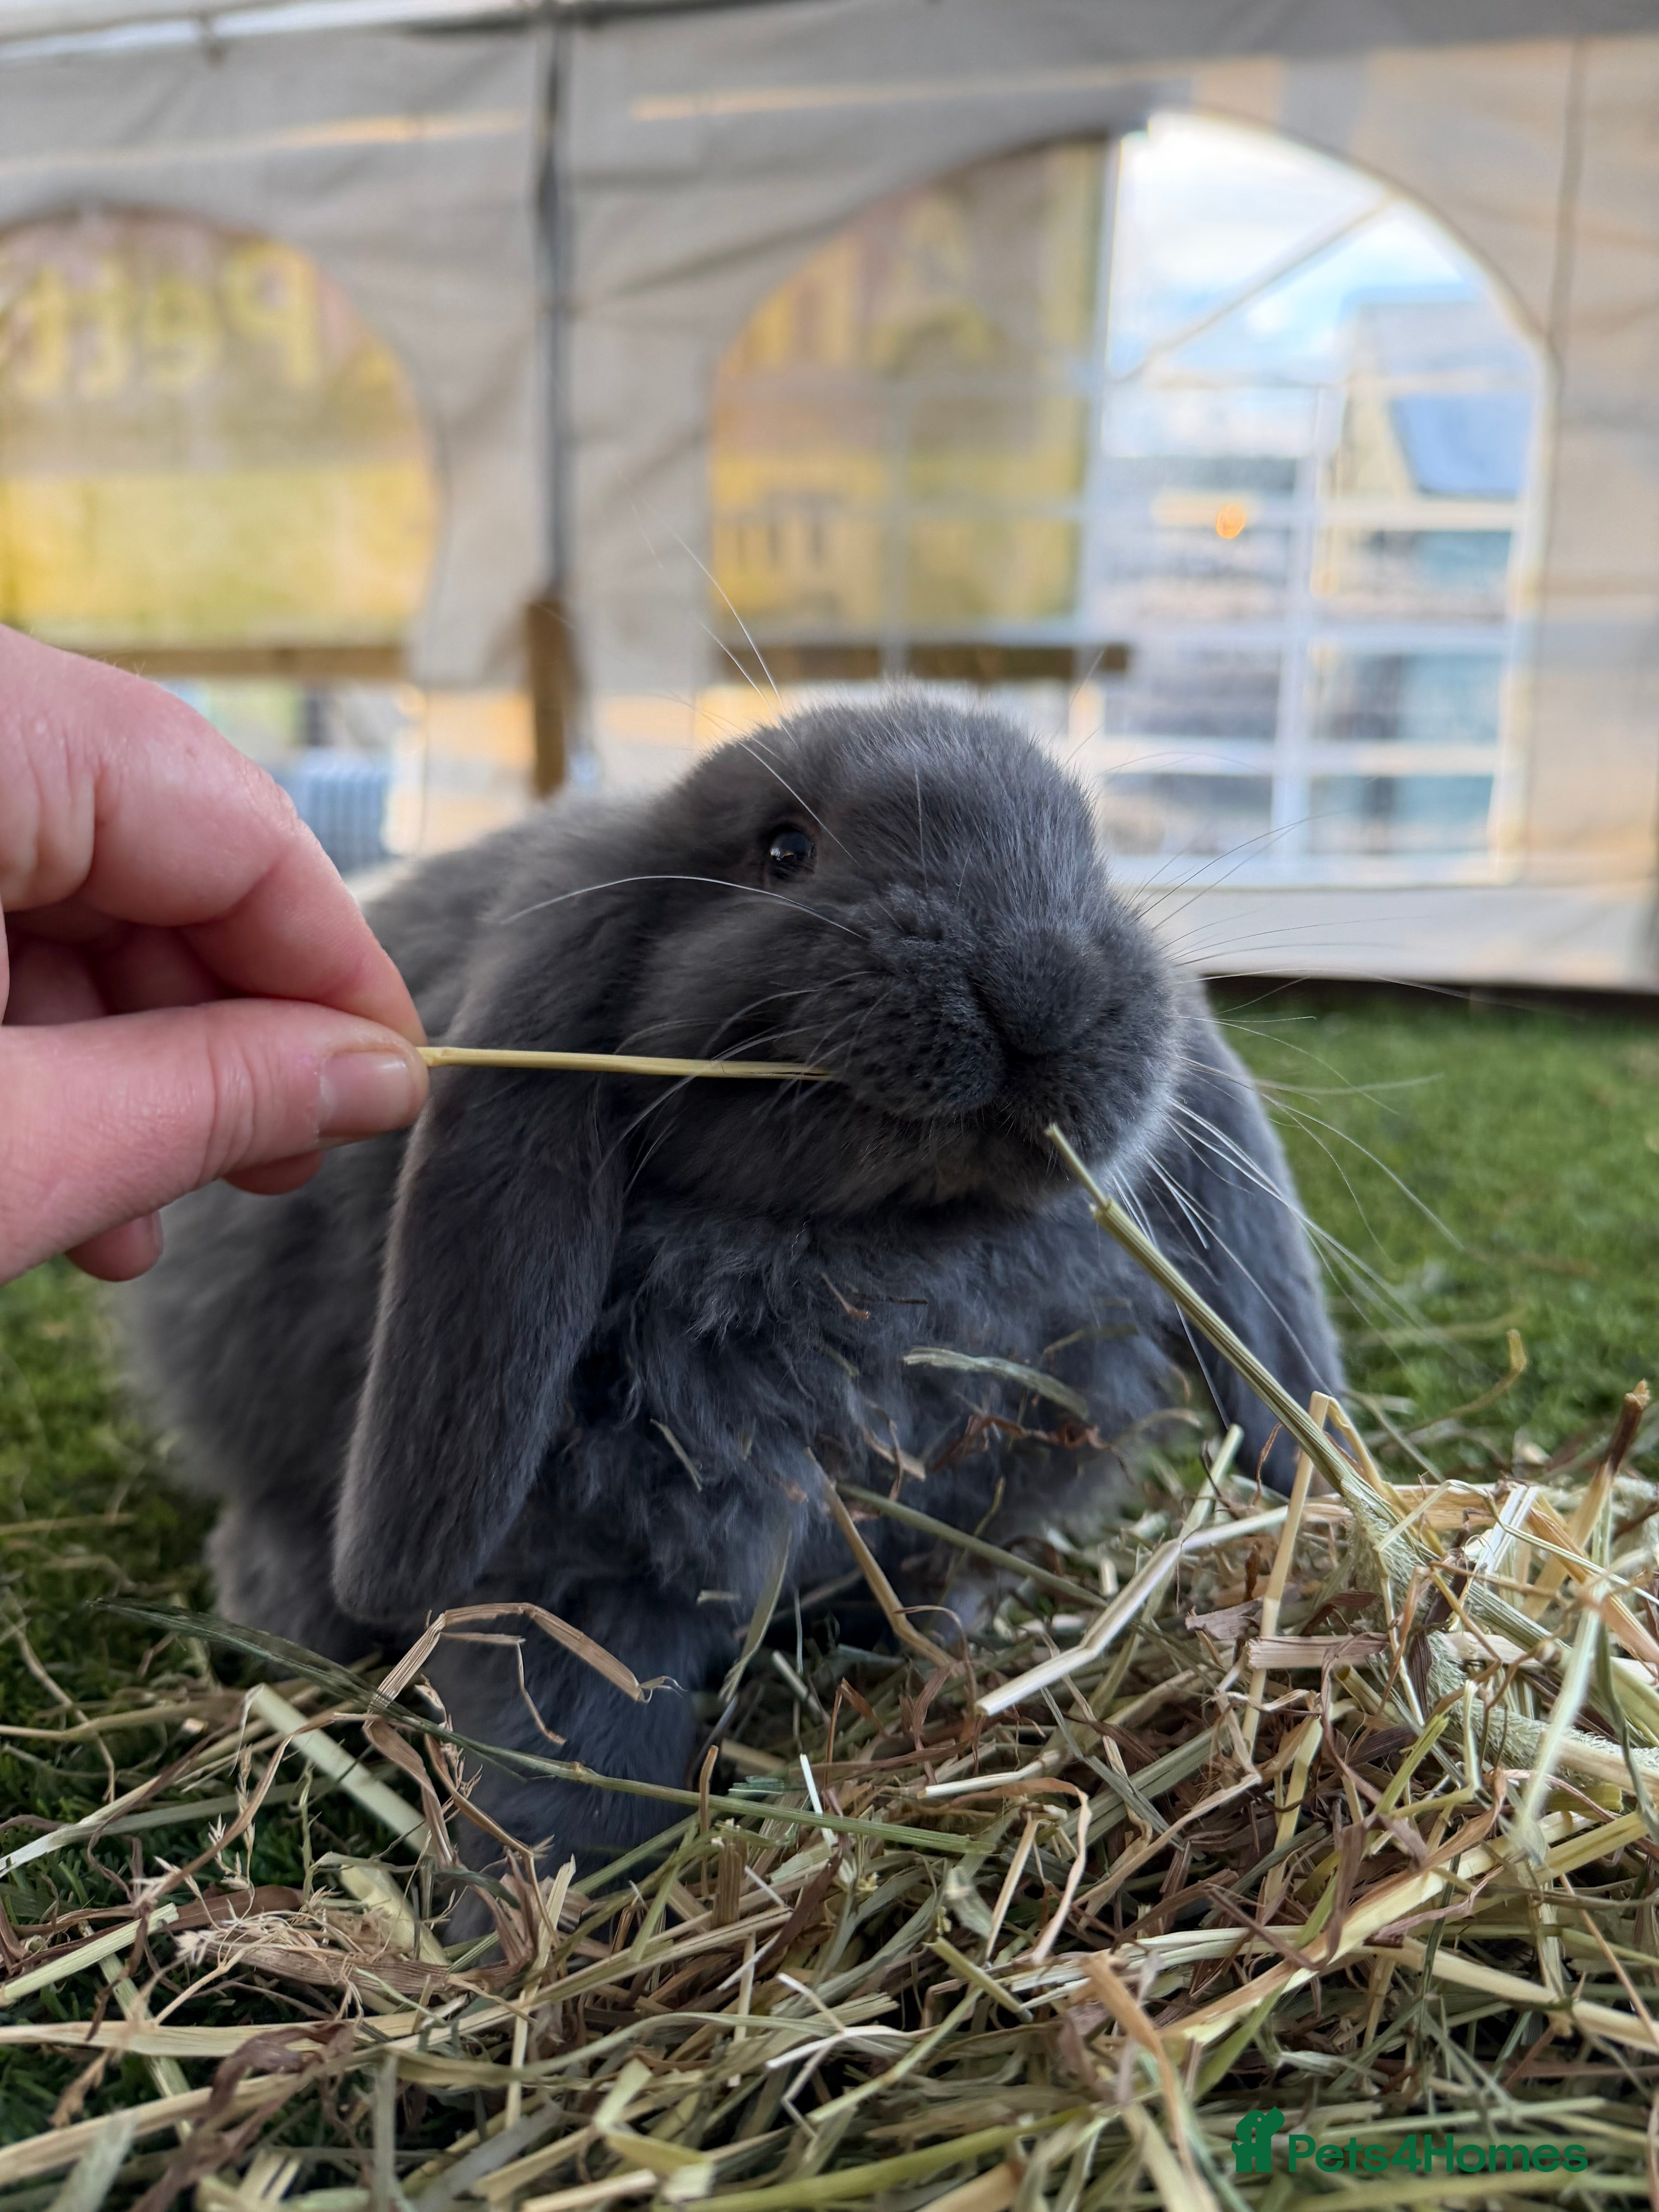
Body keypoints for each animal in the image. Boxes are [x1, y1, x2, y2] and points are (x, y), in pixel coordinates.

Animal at [127, 693, 1341, 1893]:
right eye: (784, 850)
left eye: (1090, 854)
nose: (1039, 981)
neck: (888, 1259)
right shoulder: (575, 1578)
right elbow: (583, 1728)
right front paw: (542, 1902)